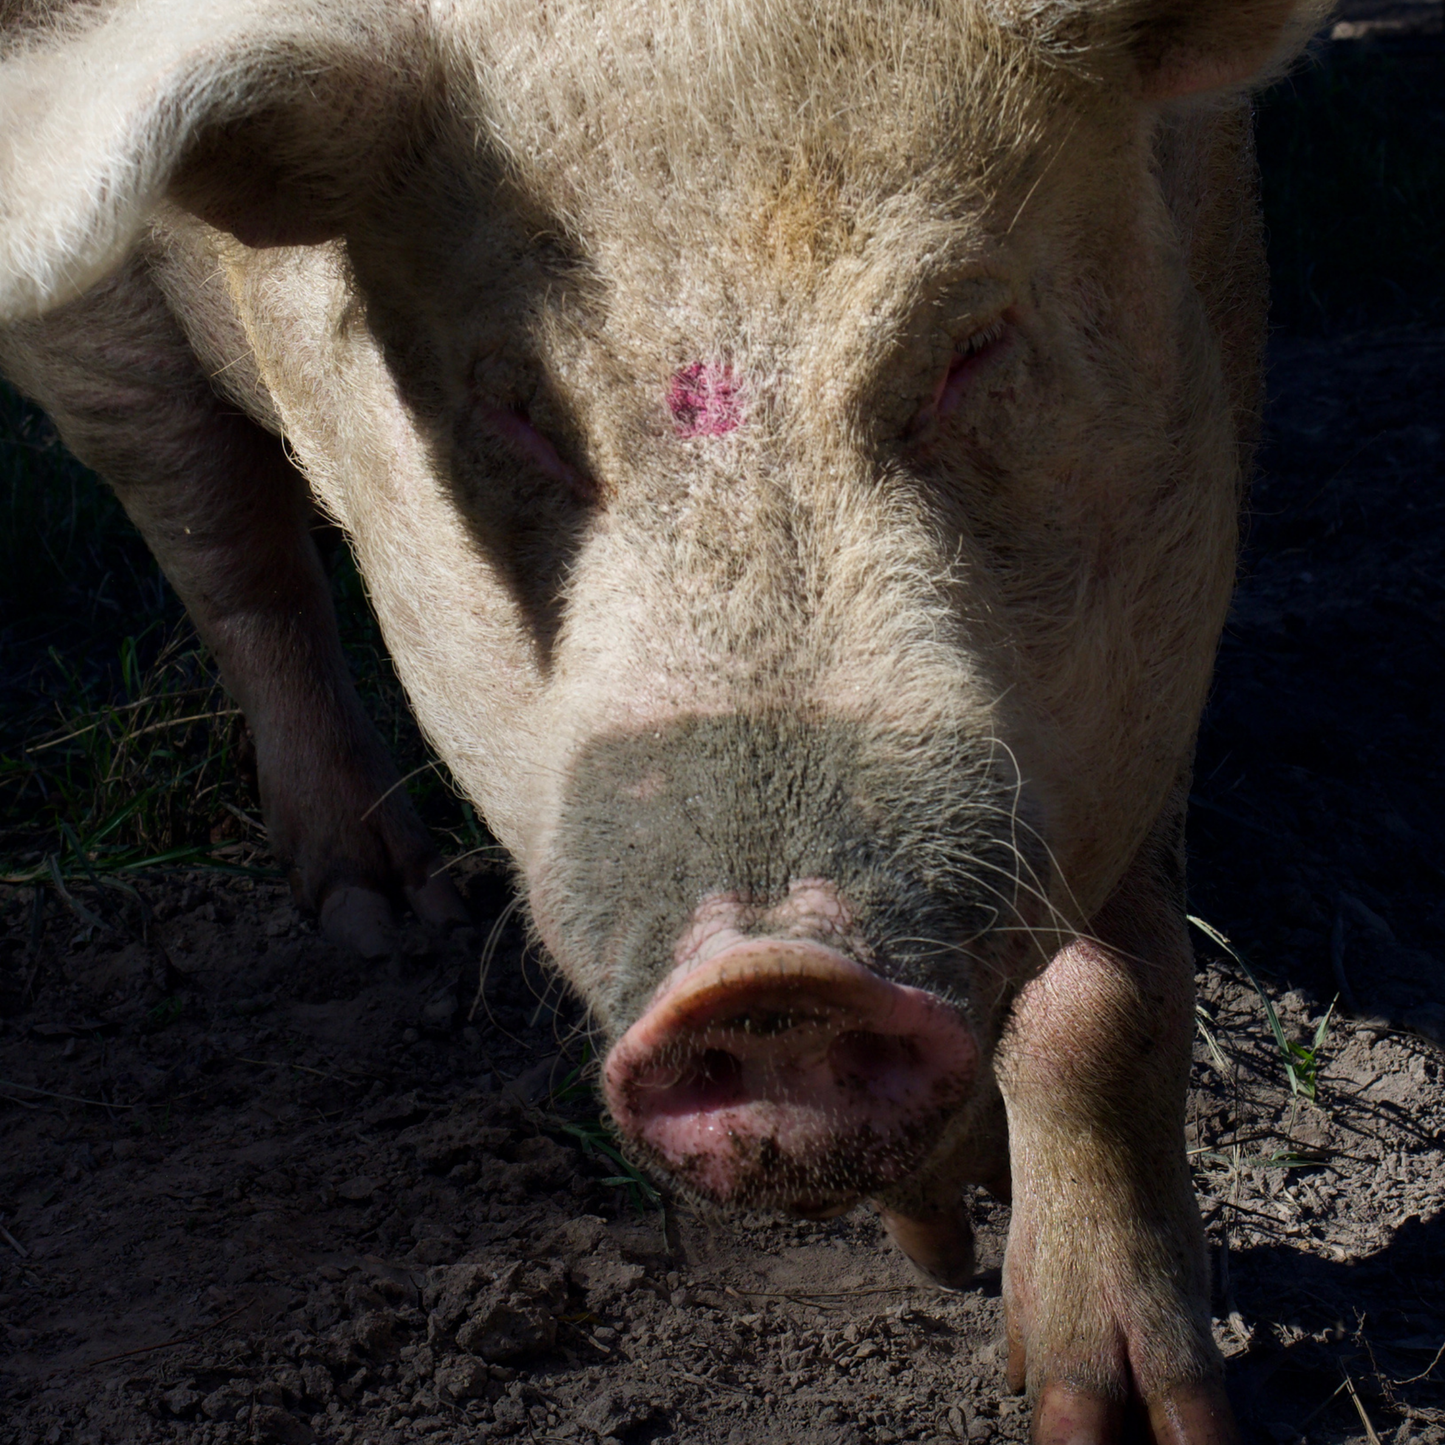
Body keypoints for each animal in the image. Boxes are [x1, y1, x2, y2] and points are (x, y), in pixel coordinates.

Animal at [0, 1, 1329, 1438]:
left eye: (968, 347)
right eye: (516, 404)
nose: (772, 977)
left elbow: (1110, 985)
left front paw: (1121, 1413)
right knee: (221, 536)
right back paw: (381, 913)